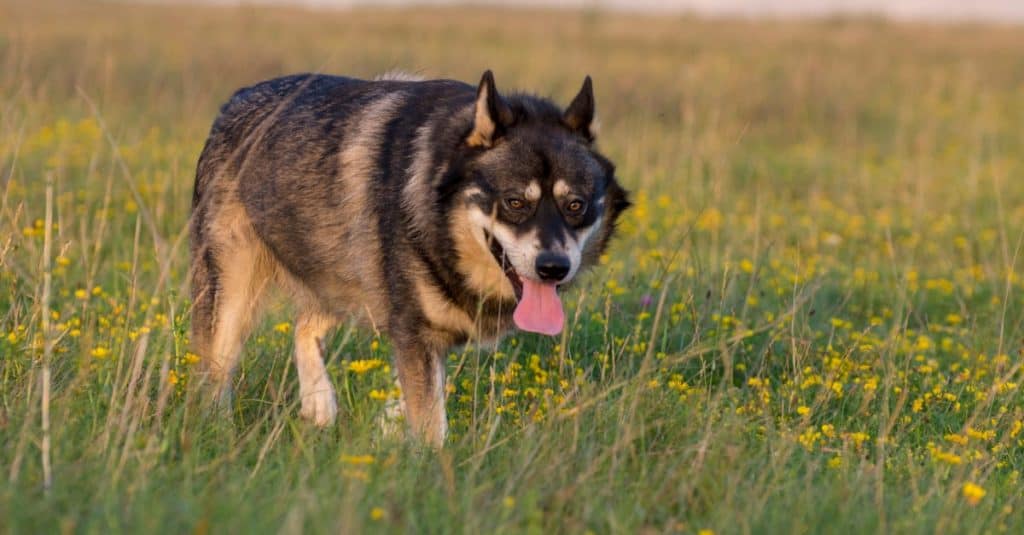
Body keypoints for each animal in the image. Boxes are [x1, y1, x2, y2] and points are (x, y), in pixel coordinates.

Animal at [188, 70, 626, 444]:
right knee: (216, 370)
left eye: (575, 205)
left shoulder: (417, 332)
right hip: (234, 290)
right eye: (515, 202)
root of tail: (237, 98)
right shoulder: (414, 330)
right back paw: (216, 429)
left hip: (347, 268)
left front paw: (388, 422)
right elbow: (431, 420)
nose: (553, 268)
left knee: (306, 324)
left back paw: (319, 402)